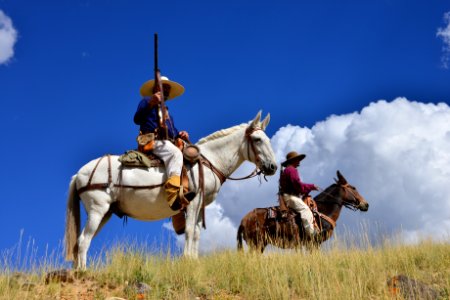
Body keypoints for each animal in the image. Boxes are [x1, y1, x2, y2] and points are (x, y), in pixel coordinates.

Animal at [64, 110, 276, 270]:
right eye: (257, 139)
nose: (273, 167)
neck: (209, 161)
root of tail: (79, 174)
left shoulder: (200, 206)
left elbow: (196, 233)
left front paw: (194, 261)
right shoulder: (193, 202)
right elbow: (190, 231)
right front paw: (187, 261)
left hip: (105, 213)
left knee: (81, 241)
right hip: (97, 210)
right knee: (83, 240)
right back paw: (82, 272)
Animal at [237, 170, 368, 252]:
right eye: (353, 188)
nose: (366, 204)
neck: (322, 212)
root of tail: (243, 220)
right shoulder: (314, 243)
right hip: (256, 244)